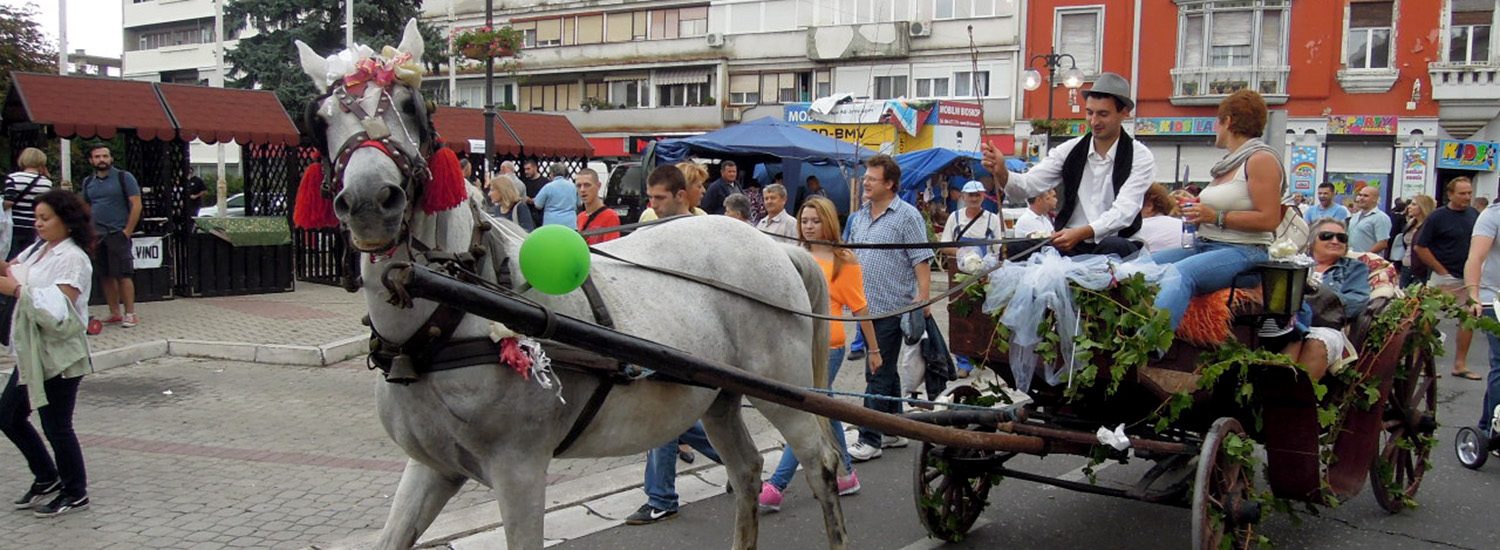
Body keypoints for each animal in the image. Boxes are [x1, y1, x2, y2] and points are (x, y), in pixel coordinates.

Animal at [295, 19, 846, 548]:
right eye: (319, 121)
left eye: (411, 106)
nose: (371, 200)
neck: (446, 316)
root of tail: (776, 247)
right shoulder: (432, 468)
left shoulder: (519, 470)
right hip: (720, 395)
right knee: (747, 469)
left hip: (786, 392)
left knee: (821, 465)